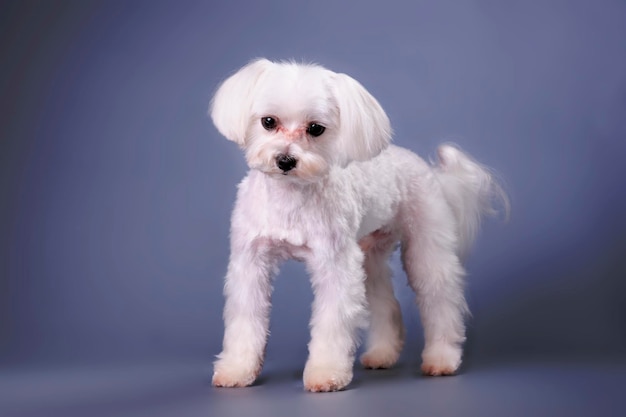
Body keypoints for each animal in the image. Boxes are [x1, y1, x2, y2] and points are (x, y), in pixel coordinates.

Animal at [207, 57, 504, 390]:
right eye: (268, 122)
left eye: (316, 128)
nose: (285, 160)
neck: (290, 197)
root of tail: (427, 169)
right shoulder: (250, 264)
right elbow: (245, 319)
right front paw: (237, 369)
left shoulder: (336, 266)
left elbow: (332, 321)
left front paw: (326, 372)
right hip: (368, 256)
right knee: (385, 302)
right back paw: (382, 354)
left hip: (425, 247)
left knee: (441, 301)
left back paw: (442, 359)